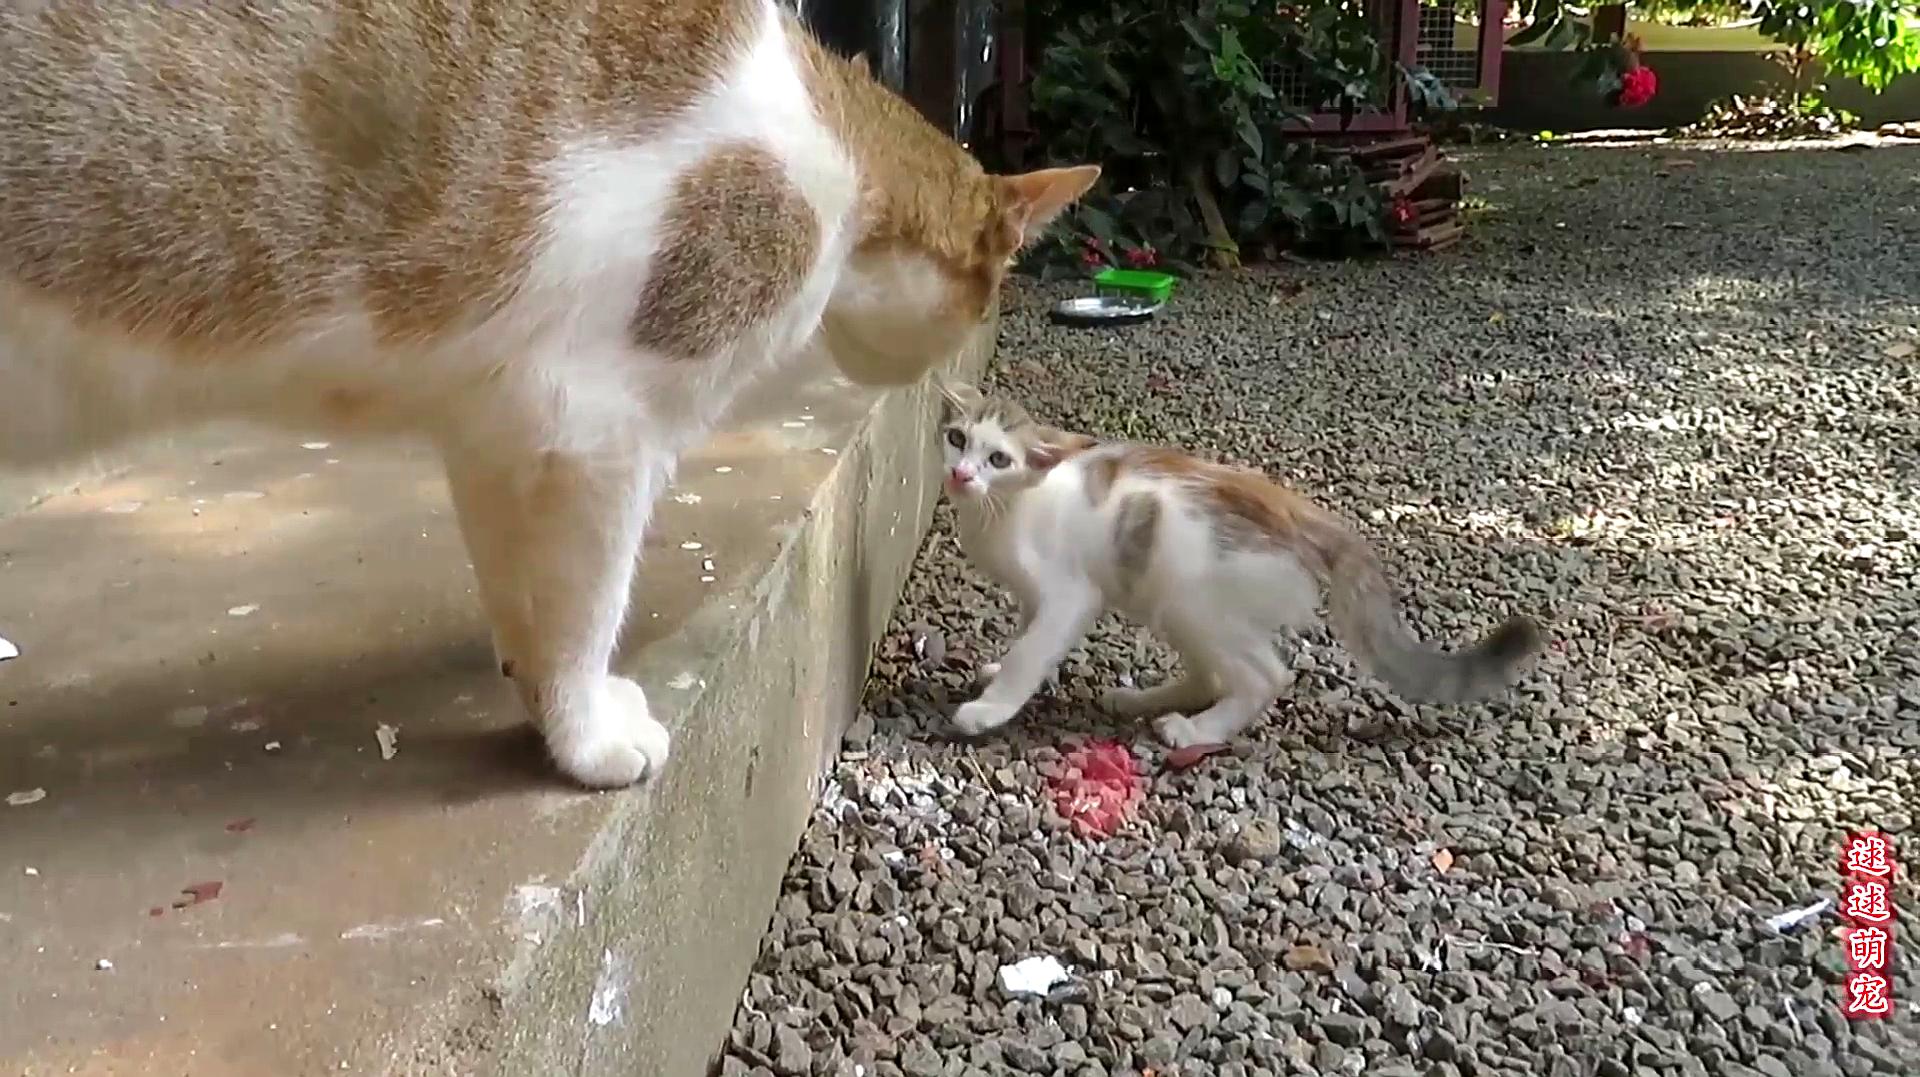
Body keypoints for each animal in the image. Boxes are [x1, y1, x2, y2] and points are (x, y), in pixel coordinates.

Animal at [0, 2, 1105, 790]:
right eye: (988, 292)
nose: (941, 378)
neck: (833, 161)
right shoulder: (592, 426)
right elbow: (585, 599)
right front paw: (585, 737)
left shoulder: (501, 429)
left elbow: (522, 588)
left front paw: (534, 695)